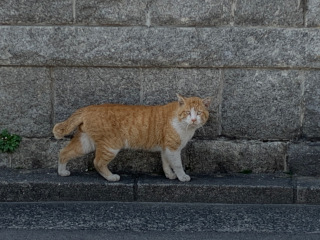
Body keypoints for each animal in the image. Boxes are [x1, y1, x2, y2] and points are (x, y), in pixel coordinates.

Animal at [53, 94, 210, 182]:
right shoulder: (172, 148)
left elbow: (166, 163)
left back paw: (61, 172)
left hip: (85, 143)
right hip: (111, 146)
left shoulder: (166, 148)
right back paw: (111, 177)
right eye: (188, 112)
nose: (194, 120)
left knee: (63, 152)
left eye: (199, 113)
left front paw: (169, 175)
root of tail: (88, 108)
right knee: (97, 162)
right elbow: (177, 164)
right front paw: (182, 177)